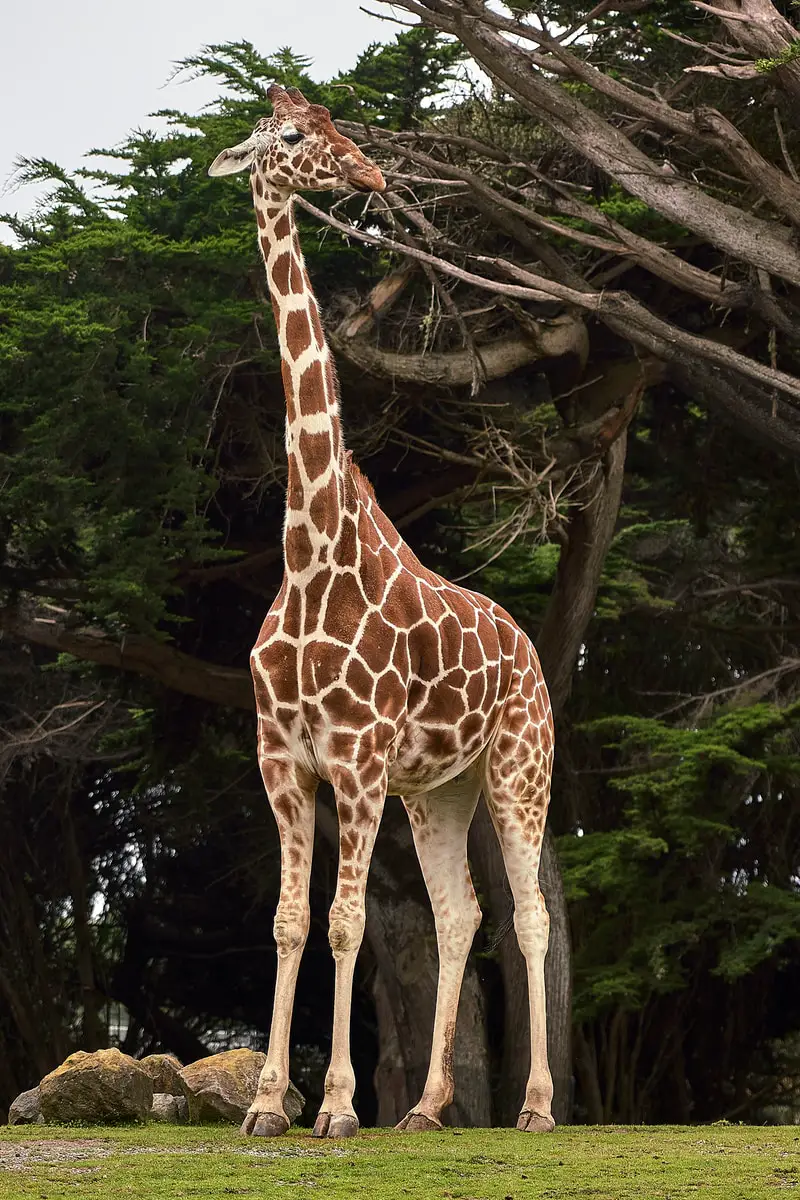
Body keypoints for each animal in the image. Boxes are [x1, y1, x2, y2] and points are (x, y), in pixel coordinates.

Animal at [209, 82, 554, 1132]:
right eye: (290, 134)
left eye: (334, 123)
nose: (367, 174)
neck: (310, 554)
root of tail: (530, 647)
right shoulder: (284, 761)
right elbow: (291, 922)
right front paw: (268, 1103)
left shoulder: (356, 760)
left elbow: (347, 921)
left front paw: (333, 1107)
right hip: (436, 790)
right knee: (460, 913)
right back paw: (430, 1107)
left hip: (519, 766)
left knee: (528, 914)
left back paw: (536, 1107)